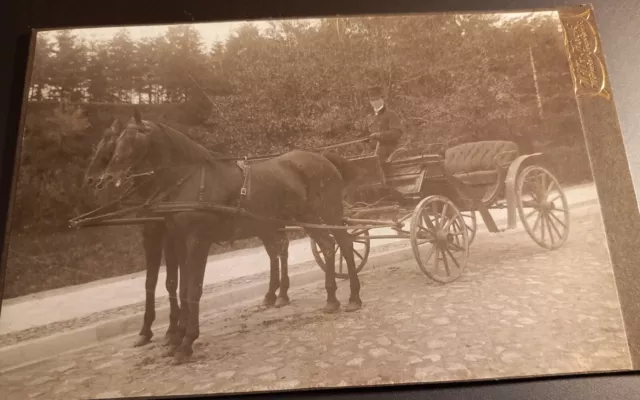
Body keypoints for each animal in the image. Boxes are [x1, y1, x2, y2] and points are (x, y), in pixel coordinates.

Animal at [97, 108, 362, 362]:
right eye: (116, 140)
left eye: (133, 137)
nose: (108, 176)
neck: (189, 180)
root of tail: (323, 158)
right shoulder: (178, 241)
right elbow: (181, 288)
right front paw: (176, 338)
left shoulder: (197, 241)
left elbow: (193, 289)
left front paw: (186, 342)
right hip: (304, 219)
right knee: (326, 246)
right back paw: (331, 299)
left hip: (328, 213)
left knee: (345, 245)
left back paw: (353, 298)